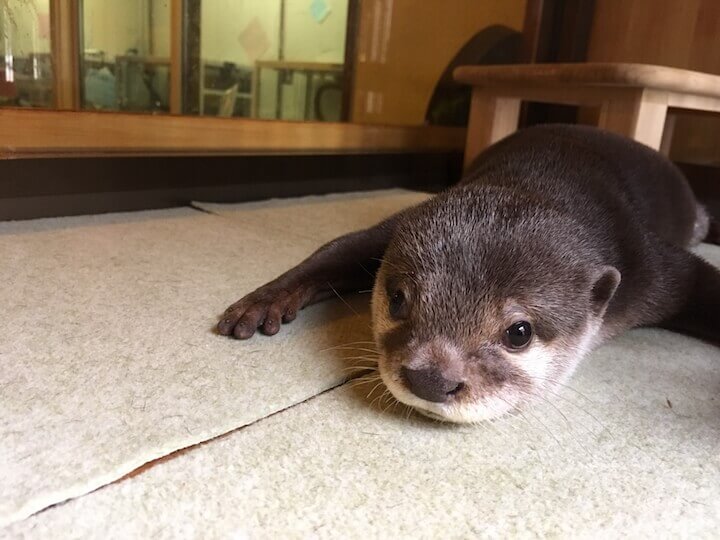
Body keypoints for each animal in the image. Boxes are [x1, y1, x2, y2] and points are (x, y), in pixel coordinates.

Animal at [215, 124, 720, 424]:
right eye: (397, 300)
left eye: (519, 332)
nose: (430, 380)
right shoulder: (398, 224)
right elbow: (337, 250)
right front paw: (264, 301)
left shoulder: (649, 265)